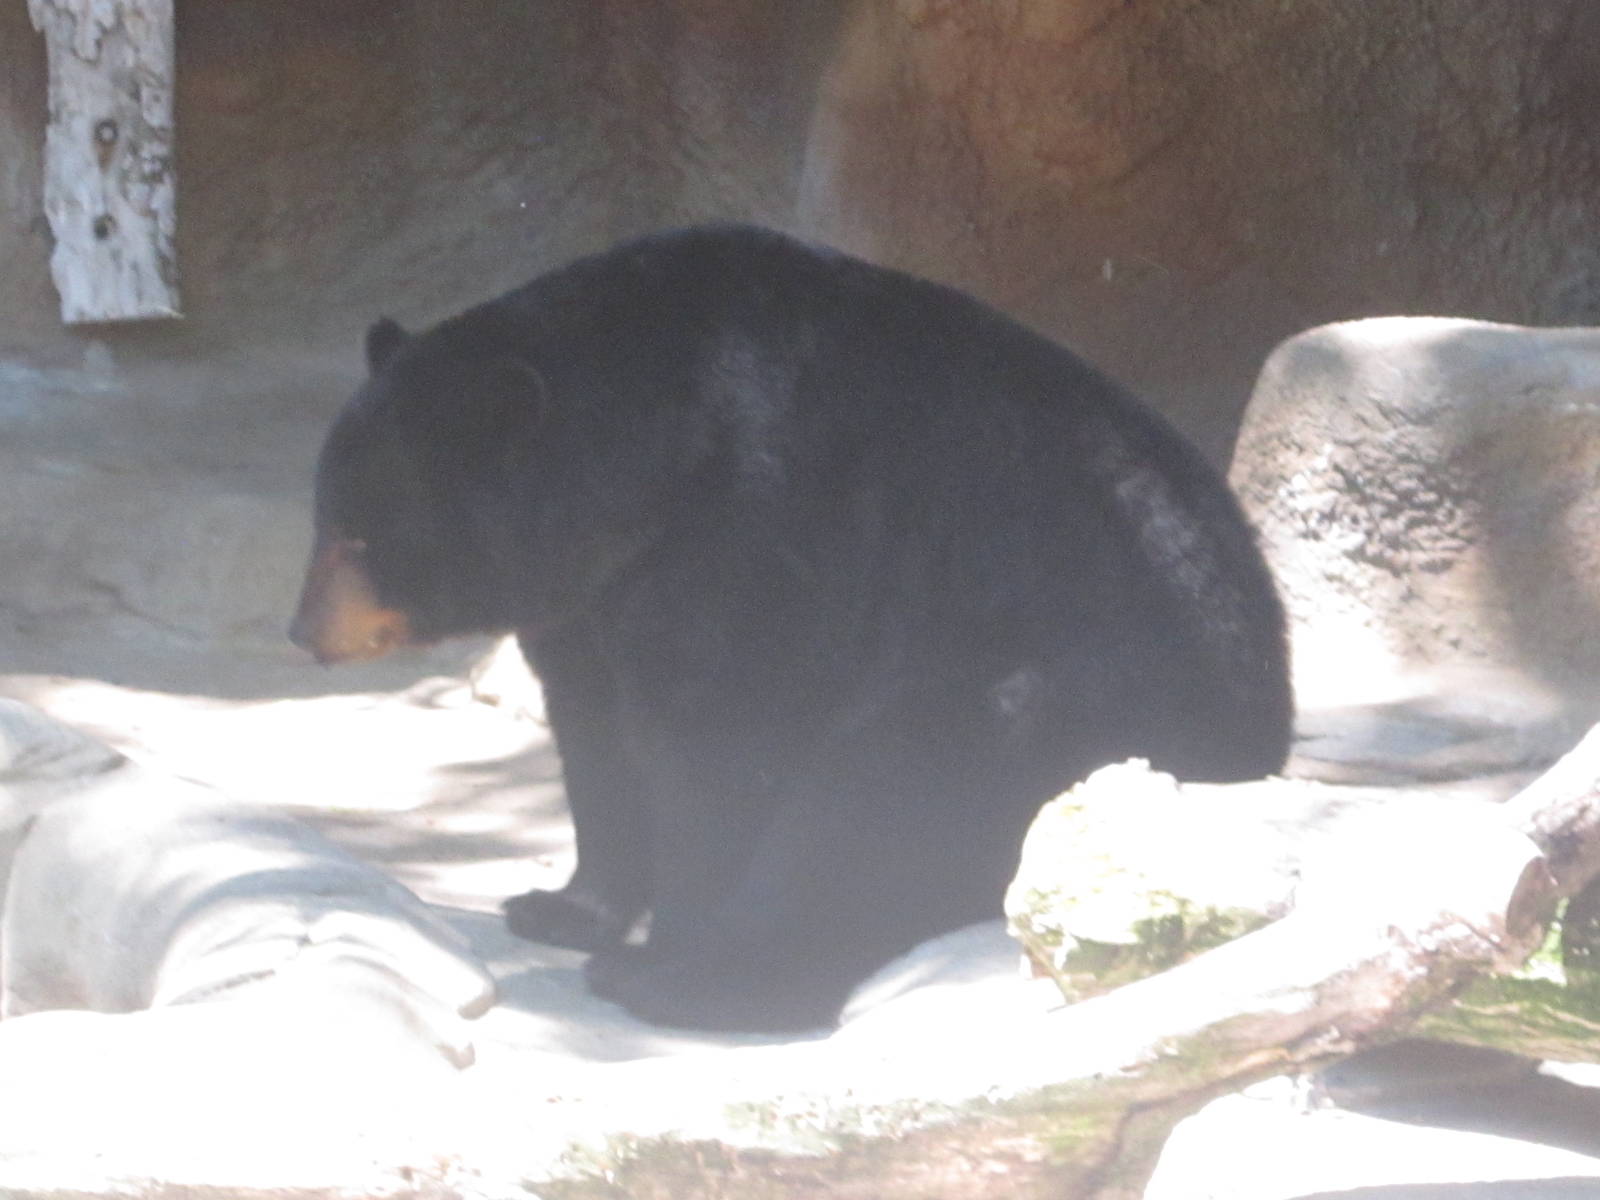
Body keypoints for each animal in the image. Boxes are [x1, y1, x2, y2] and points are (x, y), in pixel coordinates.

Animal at [289, 223, 1292, 1033]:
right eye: (326, 513)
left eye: (362, 531)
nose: (303, 631)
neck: (649, 465)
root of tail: (1260, 738)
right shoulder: (590, 598)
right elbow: (594, 735)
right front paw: (561, 906)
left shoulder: (758, 532)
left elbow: (719, 748)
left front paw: (661, 941)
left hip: (1068, 709)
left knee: (879, 801)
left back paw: (694, 984)